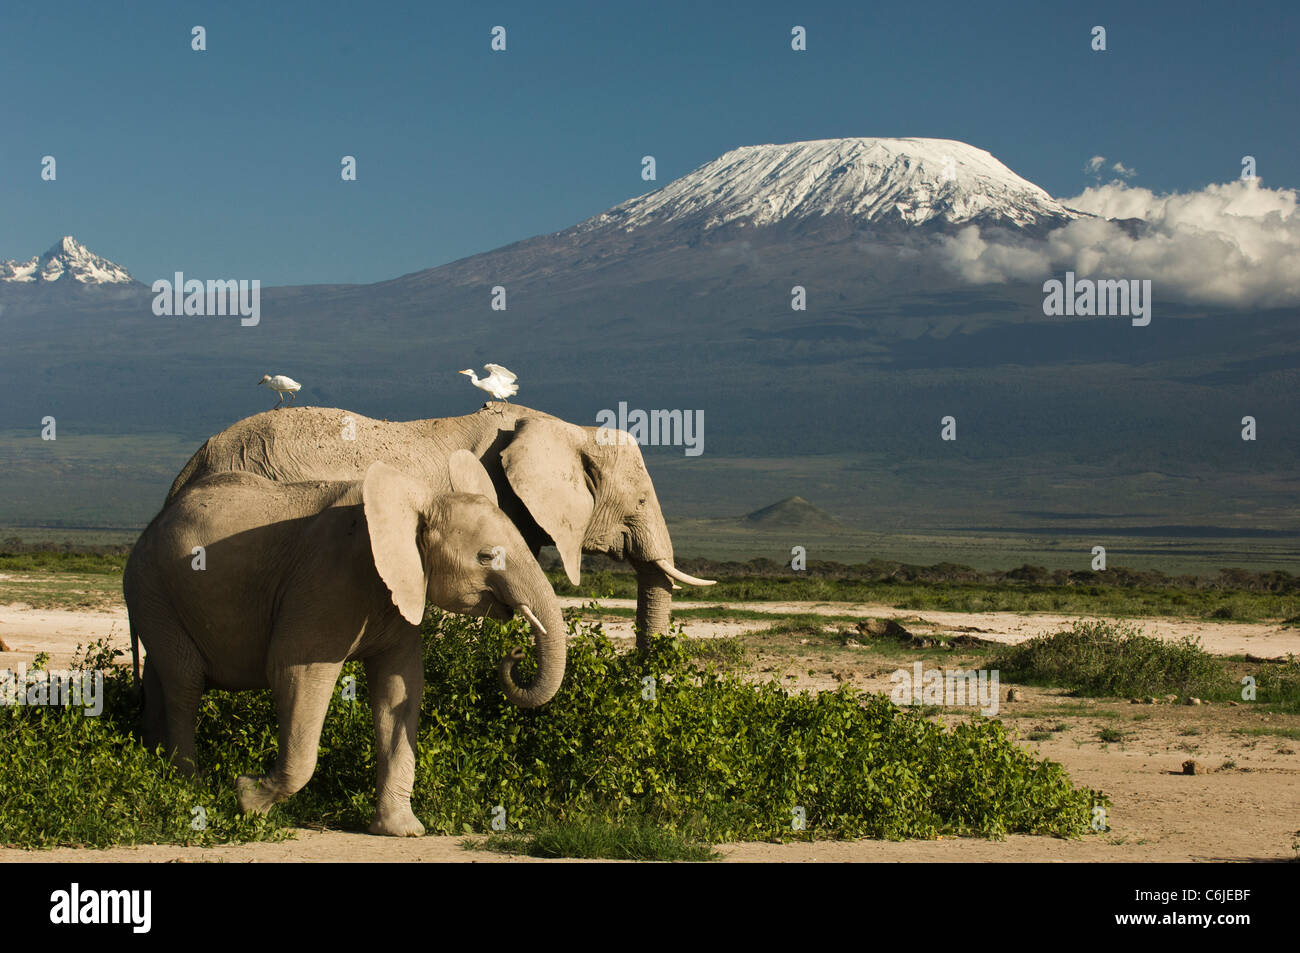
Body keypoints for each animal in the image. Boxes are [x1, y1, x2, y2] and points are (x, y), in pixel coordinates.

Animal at [122, 452, 564, 832]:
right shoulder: (327, 579)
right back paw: (187, 785)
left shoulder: (398, 590)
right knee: (185, 683)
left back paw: (155, 766)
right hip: (152, 586)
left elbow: (399, 687)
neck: (419, 501)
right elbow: (296, 673)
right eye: (486, 557)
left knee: (163, 680)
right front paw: (247, 800)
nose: (516, 653)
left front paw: (402, 831)